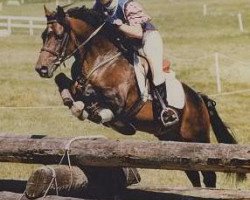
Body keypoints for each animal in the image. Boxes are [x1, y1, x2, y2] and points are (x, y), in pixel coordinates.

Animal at [34, 5, 245, 188]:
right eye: (44, 35)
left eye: (58, 36)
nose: (41, 69)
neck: (101, 59)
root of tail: (200, 98)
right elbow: (64, 81)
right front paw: (72, 102)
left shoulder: (120, 100)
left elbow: (93, 97)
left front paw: (92, 112)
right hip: (173, 140)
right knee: (192, 173)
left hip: (197, 137)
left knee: (209, 174)